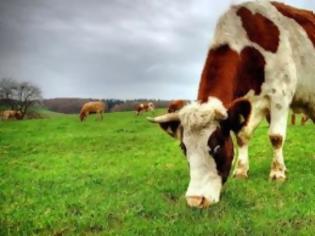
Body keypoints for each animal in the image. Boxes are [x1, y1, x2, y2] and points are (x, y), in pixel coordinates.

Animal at [148, 0, 315, 207]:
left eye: (217, 146)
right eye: (183, 148)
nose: (195, 200)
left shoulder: (280, 96)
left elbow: (276, 137)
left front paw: (277, 173)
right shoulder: (249, 104)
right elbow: (242, 136)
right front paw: (241, 170)